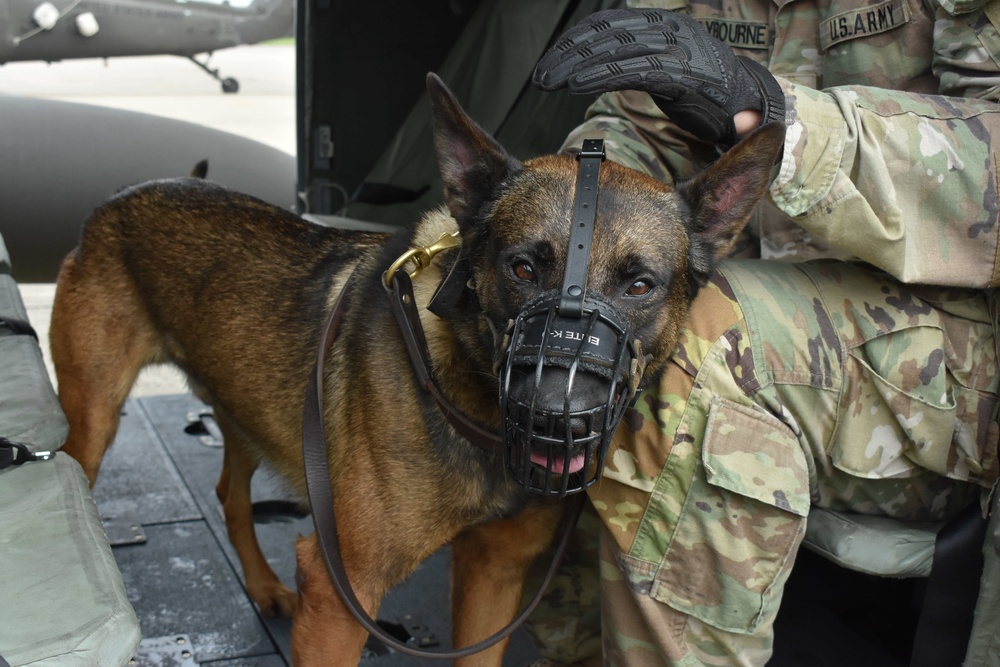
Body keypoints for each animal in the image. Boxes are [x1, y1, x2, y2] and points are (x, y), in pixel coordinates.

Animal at [50, 74, 784, 664]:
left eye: (639, 286)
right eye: (522, 267)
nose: (555, 415)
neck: (469, 391)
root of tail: (125, 194)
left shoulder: (494, 576)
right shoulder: (342, 593)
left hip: (241, 409)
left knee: (231, 493)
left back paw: (261, 586)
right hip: (94, 424)